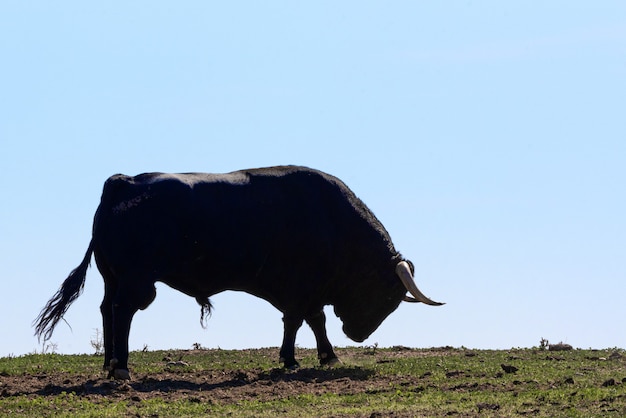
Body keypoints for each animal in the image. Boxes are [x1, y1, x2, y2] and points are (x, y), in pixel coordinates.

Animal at [35, 166, 444, 378]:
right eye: (388, 295)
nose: (358, 335)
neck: (332, 221)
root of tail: (123, 182)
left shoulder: (307, 291)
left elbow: (315, 321)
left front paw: (327, 356)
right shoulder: (299, 287)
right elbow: (297, 321)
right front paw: (291, 359)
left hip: (113, 277)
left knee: (107, 309)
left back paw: (109, 363)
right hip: (137, 281)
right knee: (122, 312)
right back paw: (121, 367)